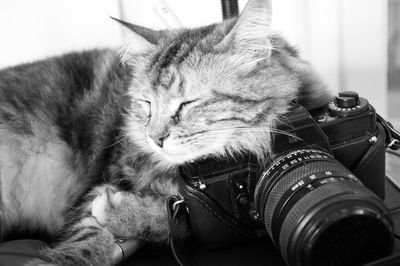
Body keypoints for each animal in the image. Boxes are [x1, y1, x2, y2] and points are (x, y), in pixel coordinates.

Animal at [0, 0, 332, 264]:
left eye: (187, 104)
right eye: (147, 104)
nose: (155, 139)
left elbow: (173, 217)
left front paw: (122, 211)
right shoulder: (102, 181)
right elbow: (88, 239)